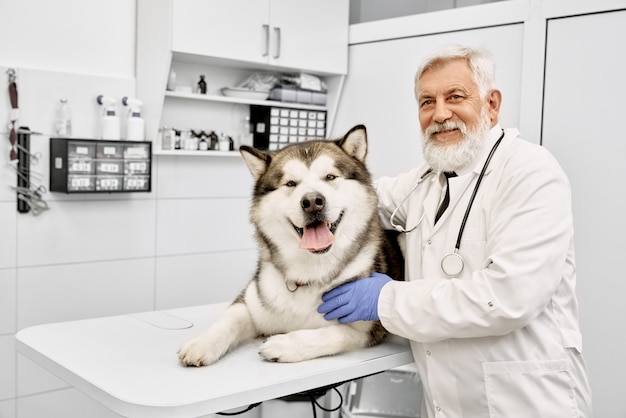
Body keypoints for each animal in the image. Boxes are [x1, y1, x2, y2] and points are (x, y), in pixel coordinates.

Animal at [177, 124, 400, 366]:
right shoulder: (250, 304)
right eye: (290, 183)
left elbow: (331, 333)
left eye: (330, 177)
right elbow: (228, 321)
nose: (312, 202)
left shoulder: (366, 328)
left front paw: (284, 344)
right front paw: (202, 343)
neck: (309, 273)